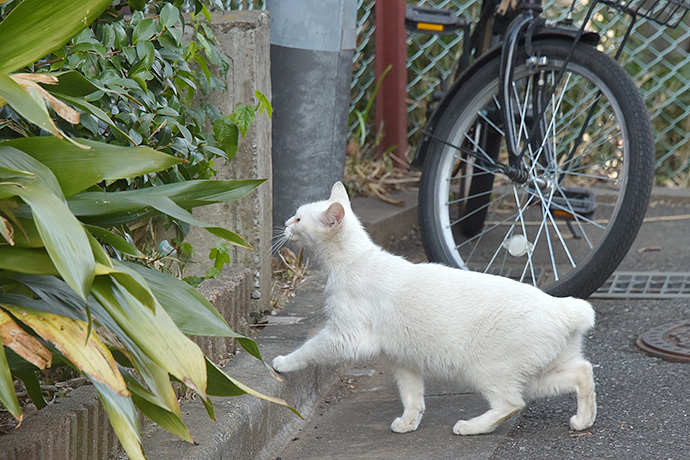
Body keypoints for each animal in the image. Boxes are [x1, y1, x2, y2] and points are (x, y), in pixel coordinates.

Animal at [272, 182, 592, 434]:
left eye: (298, 218)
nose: (285, 223)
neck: (353, 260)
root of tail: (562, 309)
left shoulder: (345, 336)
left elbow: (309, 349)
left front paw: (282, 362)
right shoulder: (401, 357)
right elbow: (412, 394)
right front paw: (408, 422)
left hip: (487, 368)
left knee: (512, 404)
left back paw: (470, 426)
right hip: (540, 374)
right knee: (583, 372)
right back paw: (583, 420)